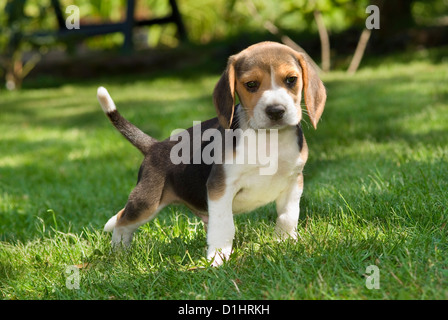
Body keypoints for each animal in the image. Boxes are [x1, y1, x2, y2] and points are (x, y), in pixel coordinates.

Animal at [96, 40, 326, 264]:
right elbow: (225, 226)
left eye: (291, 80)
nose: (276, 111)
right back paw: (118, 253)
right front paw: (217, 258)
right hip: (147, 202)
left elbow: (288, 216)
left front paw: (285, 243)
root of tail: (154, 146)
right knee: (122, 221)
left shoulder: (293, 181)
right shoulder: (220, 187)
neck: (269, 139)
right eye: (251, 84)